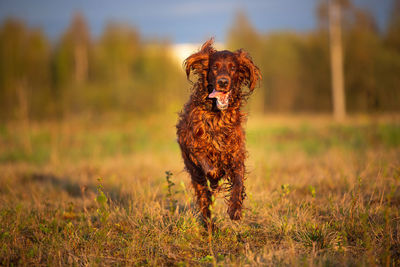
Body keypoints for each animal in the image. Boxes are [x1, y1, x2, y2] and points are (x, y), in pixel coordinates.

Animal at [177, 38, 260, 223]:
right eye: (215, 67)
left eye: (233, 67)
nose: (223, 82)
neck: (218, 117)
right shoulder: (193, 144)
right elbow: (209, 166)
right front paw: (216, 173)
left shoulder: (236, 153)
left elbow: (238, 181)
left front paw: (235, 208)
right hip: (197, 178)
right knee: (205, 204)